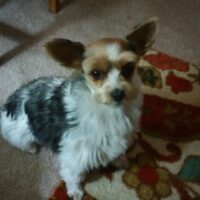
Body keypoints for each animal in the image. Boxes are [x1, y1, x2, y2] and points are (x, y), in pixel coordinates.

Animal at [0, 19, 156, 200]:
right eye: (95, 73)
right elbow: (73, 175)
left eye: (128, 68)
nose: (118, 94)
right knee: (17, 139)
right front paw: (75, 191)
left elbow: (116, 152)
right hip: (18, 130)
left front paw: (121, 161)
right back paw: (31, 147)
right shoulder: (75, 154)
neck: (108, 109)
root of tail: (13, 99)